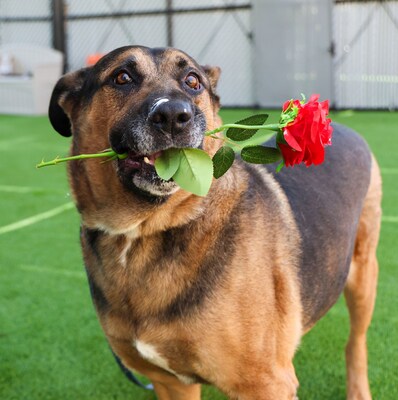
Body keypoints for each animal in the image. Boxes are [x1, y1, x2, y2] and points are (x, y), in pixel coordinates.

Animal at [48, 45, 380, 398]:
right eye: (122, 77)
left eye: (192, 81)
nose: (173, 116)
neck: (144, 230)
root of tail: (341, 128)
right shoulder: (171, 383)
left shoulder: (266, 384)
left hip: (363, 275)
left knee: (356, 342)